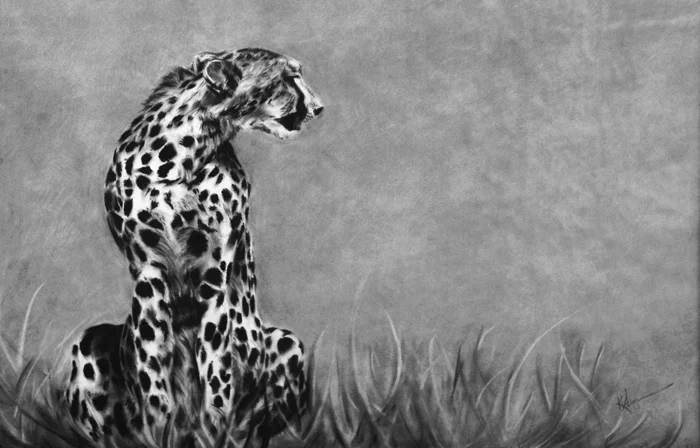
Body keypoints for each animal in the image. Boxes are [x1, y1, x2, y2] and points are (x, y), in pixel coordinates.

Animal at [65, 47, 323, 445]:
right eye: (288, 78)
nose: (318, 107)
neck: (181, 156)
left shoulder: (214, 279)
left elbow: (216, 373)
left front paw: (214, 427)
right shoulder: (148, 275)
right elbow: (153, 365)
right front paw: (159, 427)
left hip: (285, 342)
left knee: (255, 424)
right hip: (90, 341)